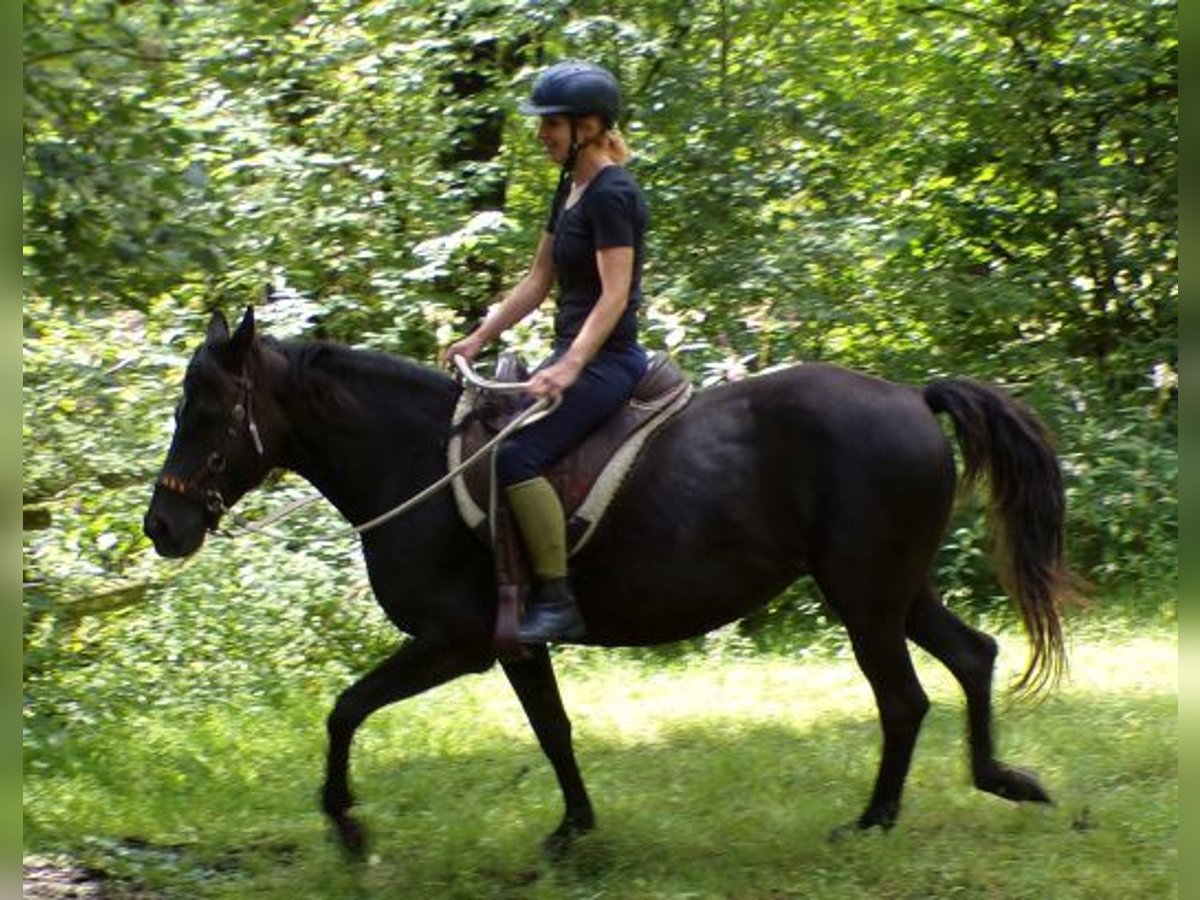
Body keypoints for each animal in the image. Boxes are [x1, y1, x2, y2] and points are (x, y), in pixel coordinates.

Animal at [140, 309, 1070, 859]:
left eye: (209, 412)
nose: (162, 527)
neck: (418, 465)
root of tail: (913, 398)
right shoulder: (514, 647)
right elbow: (554, 731)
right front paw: (573, 828)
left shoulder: (454, 645)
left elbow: (345, 710)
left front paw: (346, 821)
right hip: (892, 589)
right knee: (973, 656)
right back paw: (1001, 779)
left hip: (865, 596)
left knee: (904, 700)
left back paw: (875, 820)